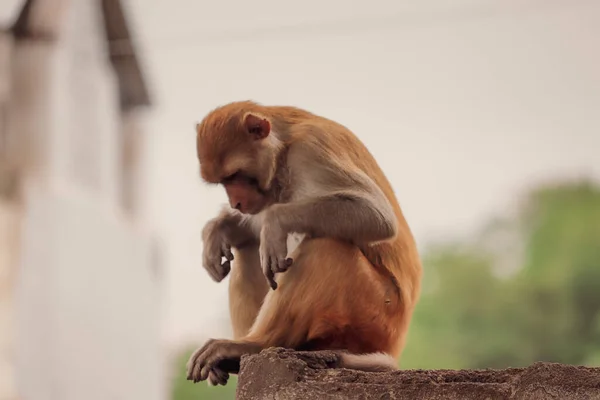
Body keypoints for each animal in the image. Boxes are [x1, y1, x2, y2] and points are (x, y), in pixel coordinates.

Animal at [188, 101, 422, 386]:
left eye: (236, 175)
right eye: (224, 181)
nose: (236, 203)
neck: (283, 150)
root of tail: (396, 344)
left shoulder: (312, 150)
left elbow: (377, 216)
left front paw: (274, 221)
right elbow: (251, 229)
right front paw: (217, 230)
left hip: (376, 316)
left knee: (324, 245)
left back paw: (254, 344)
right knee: (249, 247)